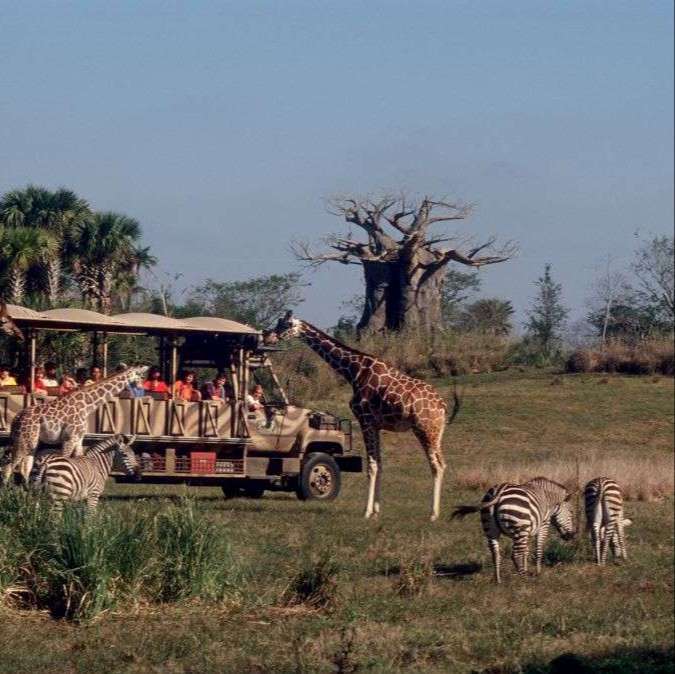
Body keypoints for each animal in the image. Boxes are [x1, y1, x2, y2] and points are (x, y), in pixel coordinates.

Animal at [1, 364, 149, 486]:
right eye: (140, 374)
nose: (141, 386)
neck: (87, 406)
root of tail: (16, 420)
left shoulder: (79, 439)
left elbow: (81, 460)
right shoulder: (69, 438)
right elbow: (64, 460)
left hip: (31, 441)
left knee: (25, 467)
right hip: (24, 440)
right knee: (9, 466)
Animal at [270, 310, 460, 520]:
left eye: (286, 324)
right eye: (278, 322)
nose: (269, 335)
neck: (354, 371)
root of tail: (442, 405)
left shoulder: (365, 419)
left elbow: (371, 466)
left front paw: (367, 511)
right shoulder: (376, 424)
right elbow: (380, 464)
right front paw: (376, 510)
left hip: (424, 429)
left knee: (437, 465)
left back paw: (433, 514)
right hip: (437, 432)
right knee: (443, 463)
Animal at [452, 476, 580, 580]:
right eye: (571, 513)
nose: (572, 536)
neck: (548, 497)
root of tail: (499, 491)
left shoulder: (529, 529)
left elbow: (526, 551)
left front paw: (527, 568)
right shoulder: (543, 524)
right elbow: (538, 548)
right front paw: (538, 572)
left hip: (492, 529)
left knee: (496, 554)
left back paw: (498, 580)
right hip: (520, 528)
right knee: (515, 554)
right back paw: (523, 578)